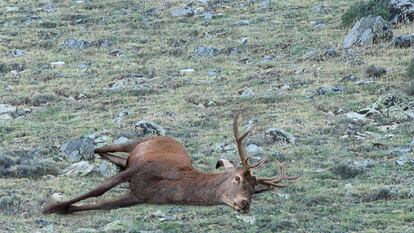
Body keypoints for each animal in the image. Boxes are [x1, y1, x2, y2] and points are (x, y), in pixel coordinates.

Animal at [42, 112, 298, 214]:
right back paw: (90, 150)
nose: (245, 204)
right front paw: (52, 206)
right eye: (237, 178)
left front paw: (65, 209)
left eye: (255, 191)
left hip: (130, 158)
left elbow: (99, 205)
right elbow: (99, 190)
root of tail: (168, 137)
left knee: (118, 161)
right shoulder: (140, 168)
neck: (172, 186)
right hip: (137, 143)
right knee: (105, 148)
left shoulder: (139, 196)